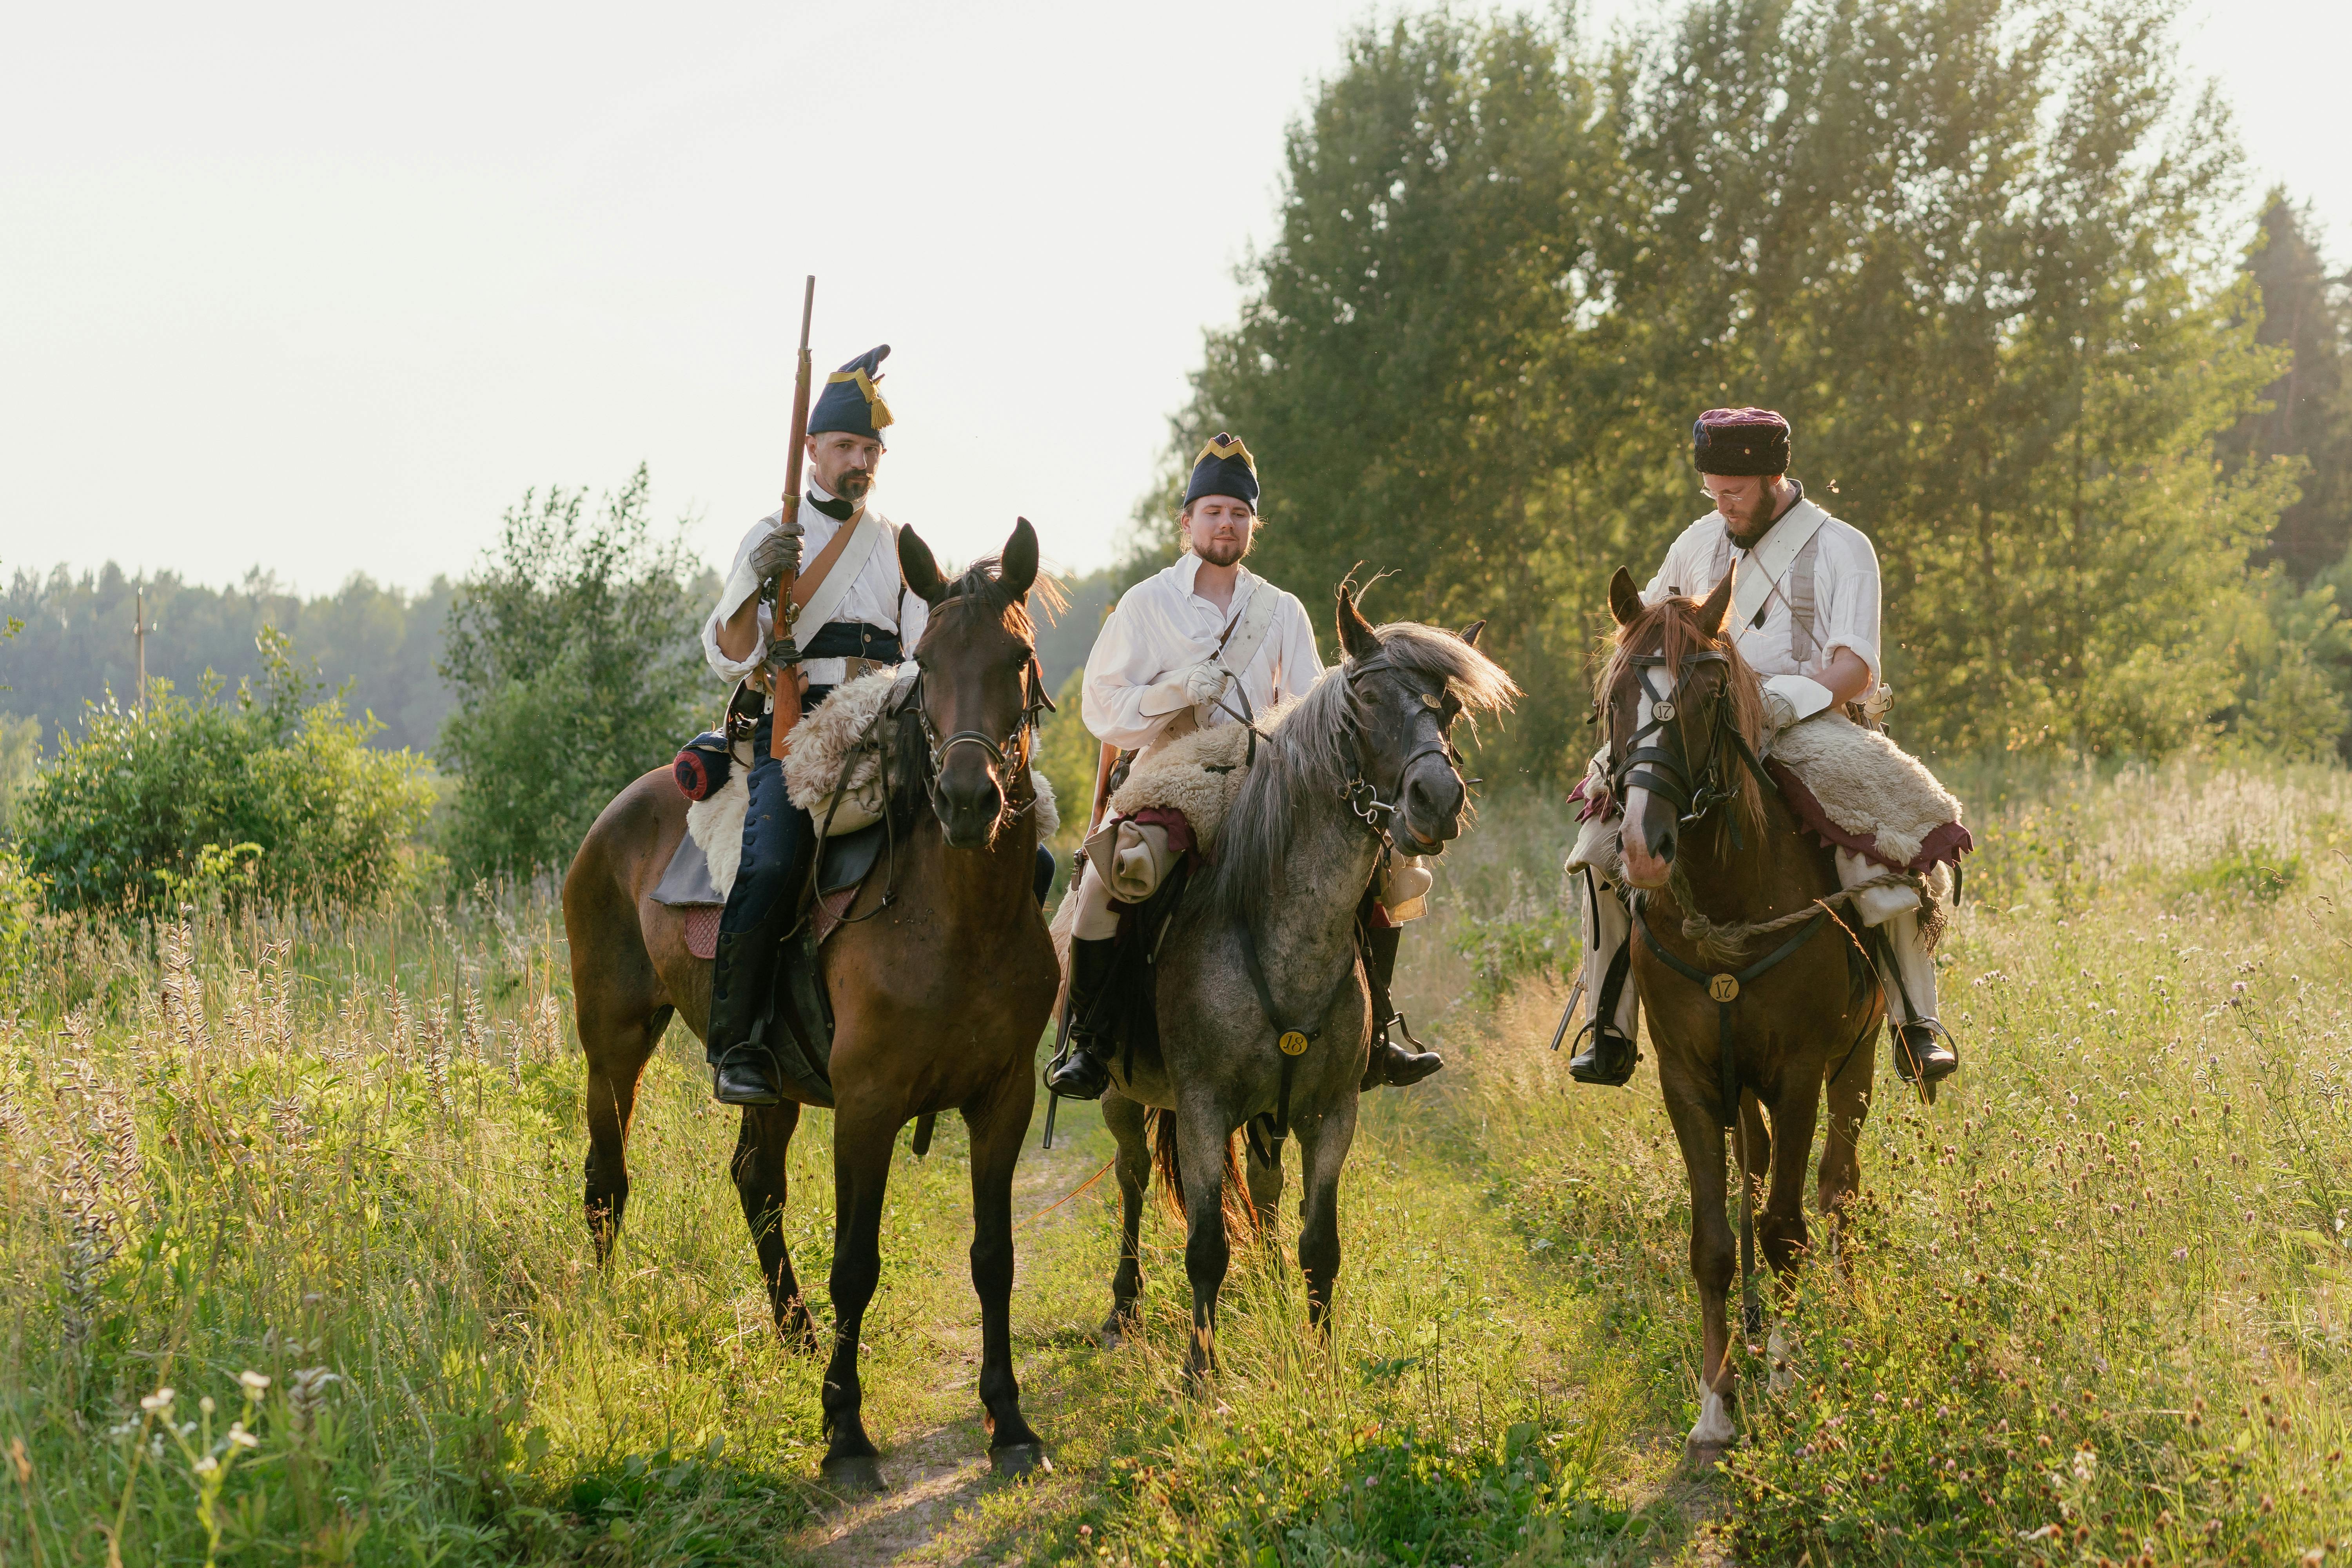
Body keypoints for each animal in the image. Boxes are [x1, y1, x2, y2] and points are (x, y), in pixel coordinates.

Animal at [562, 522, 1058, 1495]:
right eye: (927, 662)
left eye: (1017, 658)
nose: (968, 798)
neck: (959, 914)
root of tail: (614, 818)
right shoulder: (866, 1105)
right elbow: (856, 1263)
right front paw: (848, 1436)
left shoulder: (1004, 1100)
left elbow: (995, 1258)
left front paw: (1010, 1421)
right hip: (613, 1041)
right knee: (607, 1180)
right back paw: (605, 1310)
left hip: (775, 1079)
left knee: (755, 1179)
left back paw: (795, 1332)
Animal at [1091, 585, 1515, 1373]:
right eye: (1368, 698)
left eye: (1448, 709)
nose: (1438, 800)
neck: (1281, 935)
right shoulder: (1201, 1109)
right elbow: (1204, 1246)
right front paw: (1200, 1374)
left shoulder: (1330, 1112)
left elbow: (1320, 1245)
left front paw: (1320, 1367)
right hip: (1121, 1094)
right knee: (1132, 1179)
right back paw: (1123, 1308)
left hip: (1266, 1114)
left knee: (1262, 1185)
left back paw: (1264, 1283)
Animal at [1590, 564, 1882, 1457]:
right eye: (1614, 695)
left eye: (1709, 693)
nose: (1643, 847)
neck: (1728, 902)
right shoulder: (1689, 1081)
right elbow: (1716, 1240)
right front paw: (1718, 1400)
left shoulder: (1798, 1075)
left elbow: (1786, 1228)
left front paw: (1786, 1381)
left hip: (1855, 1066)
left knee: (1837, 1190)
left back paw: (1845, 1318)